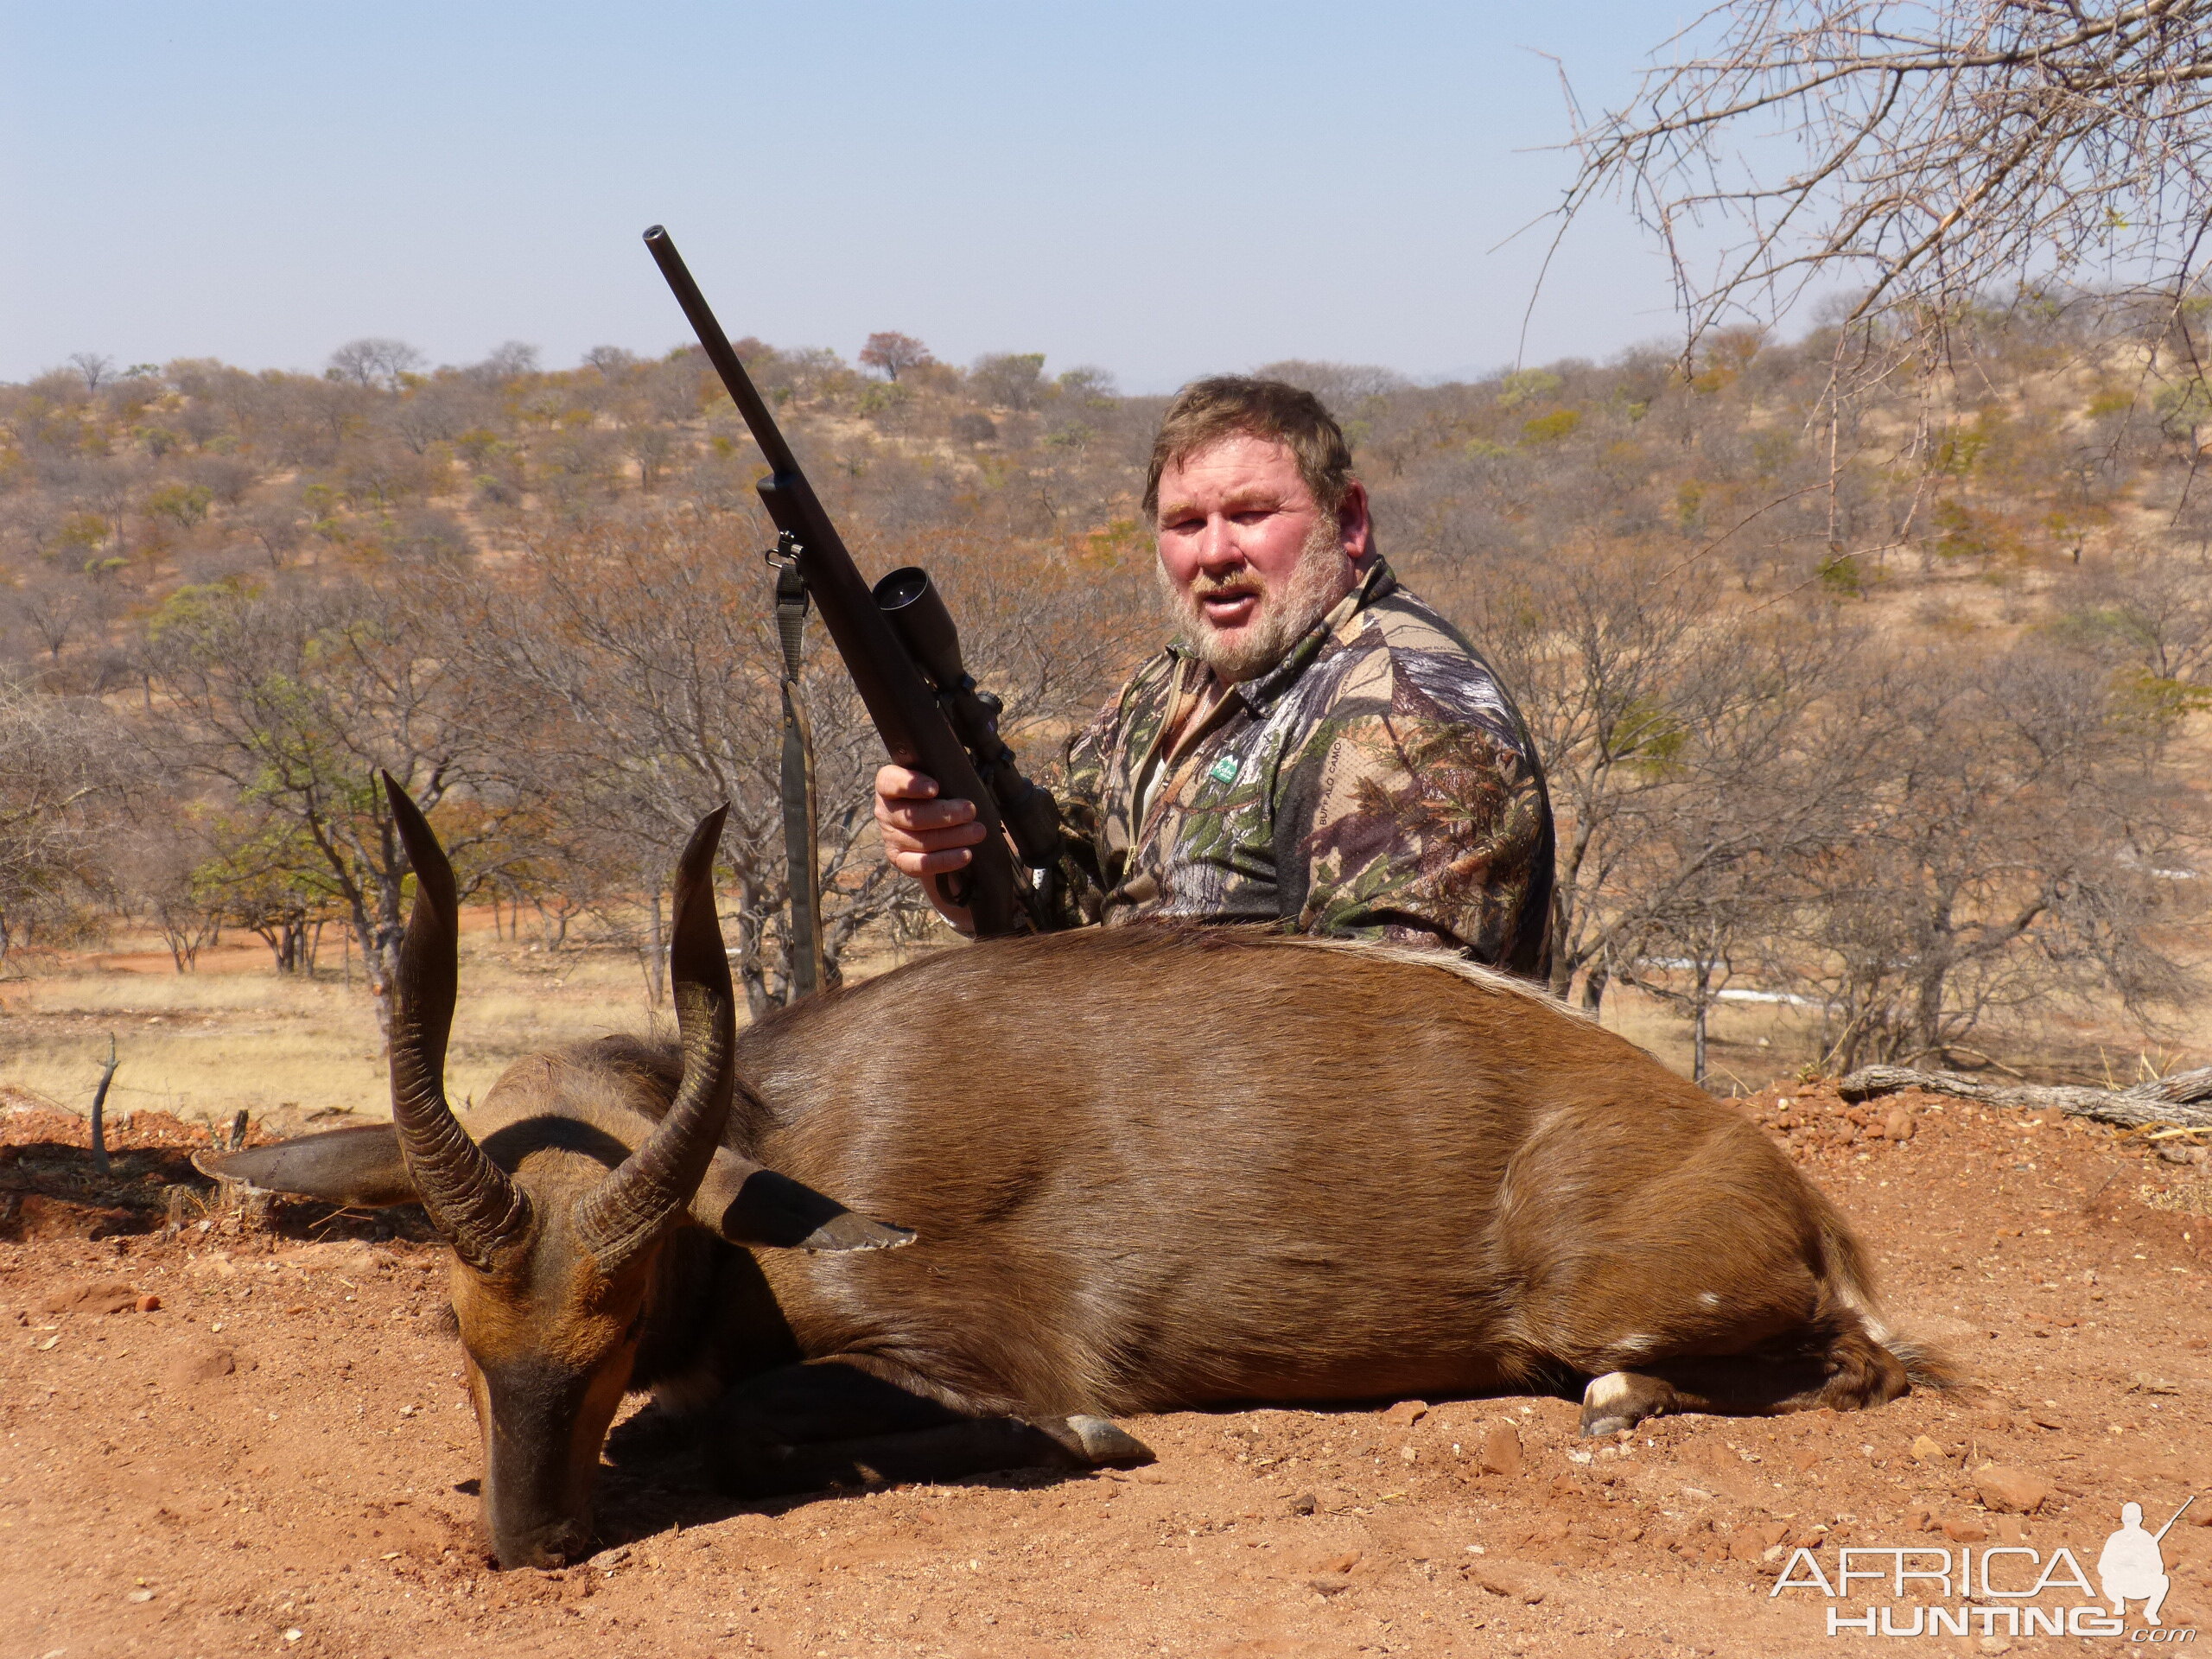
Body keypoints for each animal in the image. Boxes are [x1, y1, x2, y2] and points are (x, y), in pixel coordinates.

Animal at [203, 779, 1937, 1574]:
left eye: (617, 1321)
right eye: (455, 1329)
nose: (529, 1542)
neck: (784, 1146)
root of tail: (1801, 1199)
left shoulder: (985, 1354)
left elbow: (751, 1425)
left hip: (1598, 1302)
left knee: (1830, 1369)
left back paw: (1621, 1402)